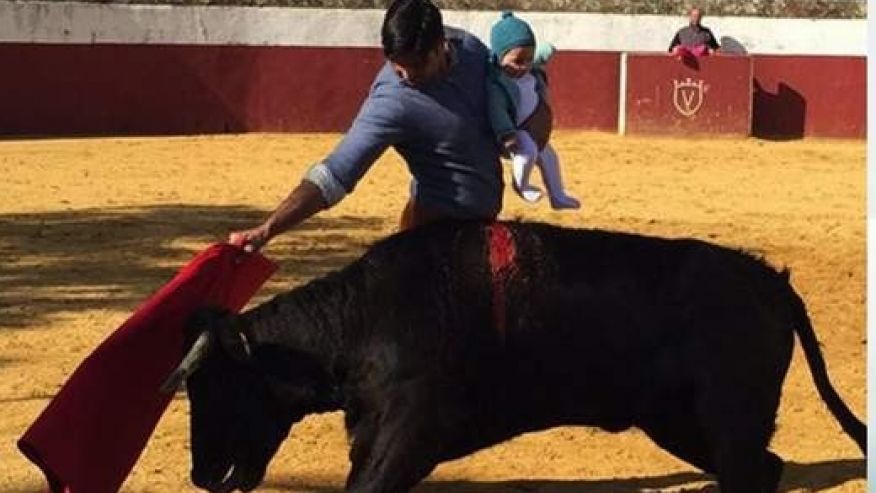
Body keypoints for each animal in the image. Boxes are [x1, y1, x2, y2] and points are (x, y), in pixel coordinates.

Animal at [175, 221, 864, 492]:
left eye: (215, 387)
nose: (201, 474)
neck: (362, 319)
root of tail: (769, 279)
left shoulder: (407, 433)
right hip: (679, 422)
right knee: (765, 469)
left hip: (727, 416)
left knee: (750, 471)